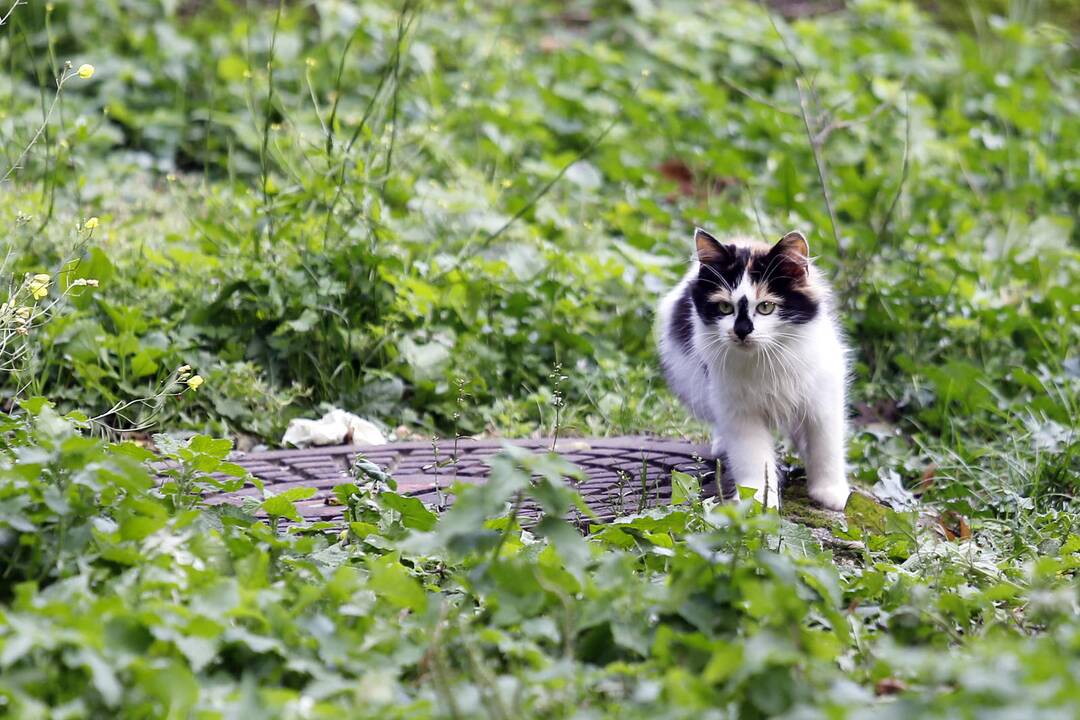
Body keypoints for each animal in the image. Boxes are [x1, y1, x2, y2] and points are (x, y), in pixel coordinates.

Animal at [656, 227, 851, 509]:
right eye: (725, 307)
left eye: (766, 307)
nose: (741, 331)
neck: (767, 359)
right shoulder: (739, 411)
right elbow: (753, 457)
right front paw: (758, 500)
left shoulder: (823, 397)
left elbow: (826, 446)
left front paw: (830, 492)